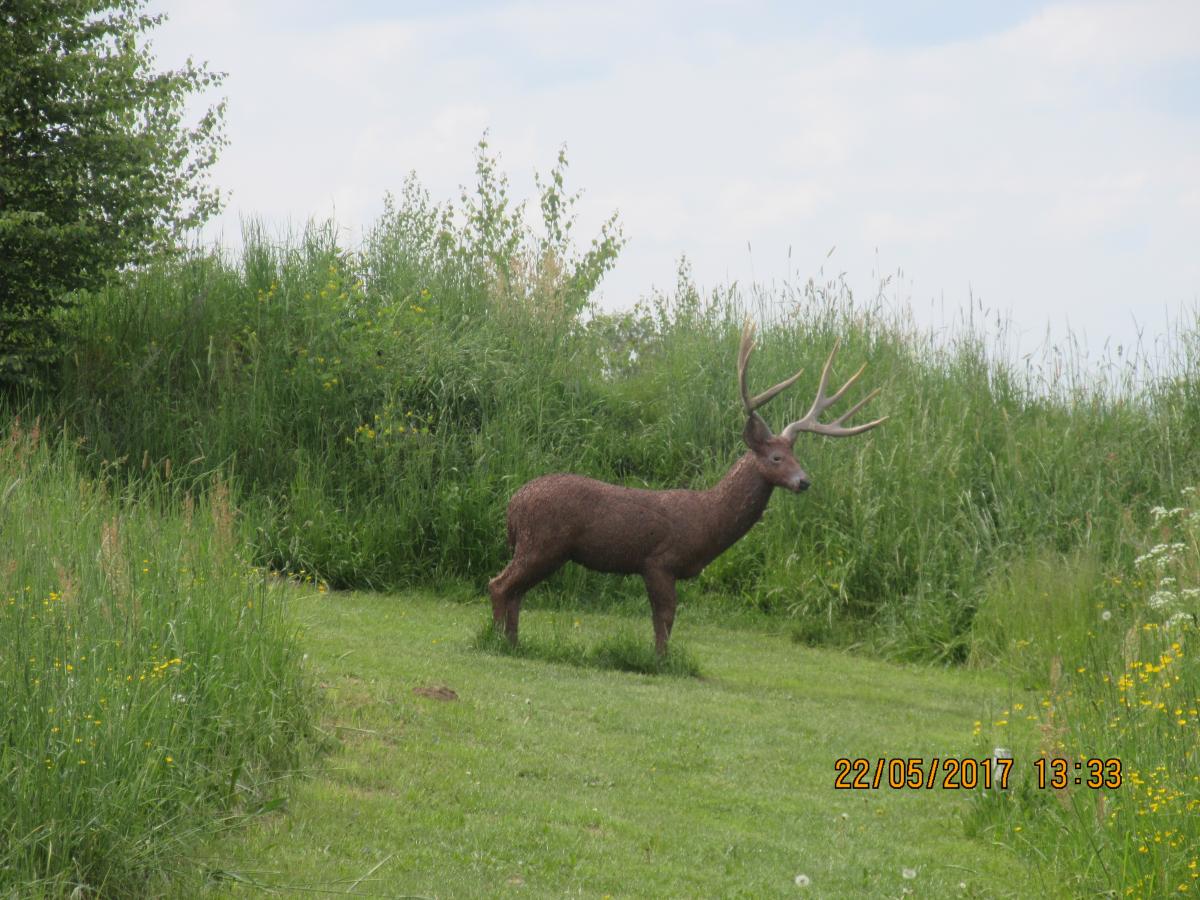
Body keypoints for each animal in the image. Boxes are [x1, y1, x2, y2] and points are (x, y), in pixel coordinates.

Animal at [487, 321, 892, 657]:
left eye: (796, 454)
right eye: (776, 457)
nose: (804, 481)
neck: (707, 521)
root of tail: (512, 506)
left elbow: (664, 619)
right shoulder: (659, 560)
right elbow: (665, 617)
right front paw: (661, 661)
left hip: (543, 547)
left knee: (515, 591)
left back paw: (513, 641)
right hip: (542, 541)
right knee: (499, 584)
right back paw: (499, 642)